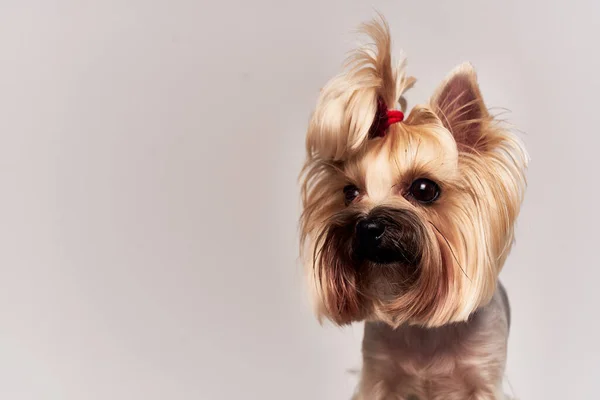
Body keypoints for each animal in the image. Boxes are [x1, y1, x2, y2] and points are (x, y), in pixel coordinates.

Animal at [298, 17, 528, 398]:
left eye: (424, 189)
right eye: (349, 192)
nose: (367, 227)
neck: (425, 330)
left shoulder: (482, 378)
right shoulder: (378, 375)